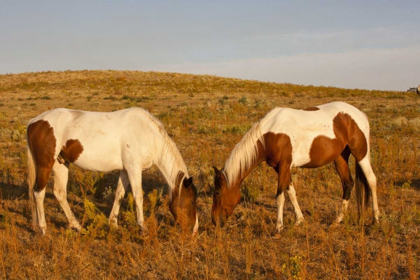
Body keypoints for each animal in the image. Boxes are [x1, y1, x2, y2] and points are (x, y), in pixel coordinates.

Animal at [27, 107, 199, 234]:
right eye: (191, 201)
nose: (194, 229)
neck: (147, 133)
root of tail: (33, 122)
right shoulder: (134, 168)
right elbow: (138, 196)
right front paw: (142, 227)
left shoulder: (125, 170)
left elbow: (119, 194)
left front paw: (113, 223)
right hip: (46, 164)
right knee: (38, 192)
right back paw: (43, 229)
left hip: (61, 164)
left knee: (59, 193)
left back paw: (76, 225)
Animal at [212, 100, 378, 232]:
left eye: (218, 192)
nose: (214, 221)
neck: (269, 135)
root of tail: (360, 114)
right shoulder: (280, 168)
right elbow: (291, 192)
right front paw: (299, 220)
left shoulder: (284, 165)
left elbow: (280, 197)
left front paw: (278, 227)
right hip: (340, 158)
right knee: (348, 184)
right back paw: (337, 221)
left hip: (361, 154)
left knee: (371, 180)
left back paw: (375, 220)